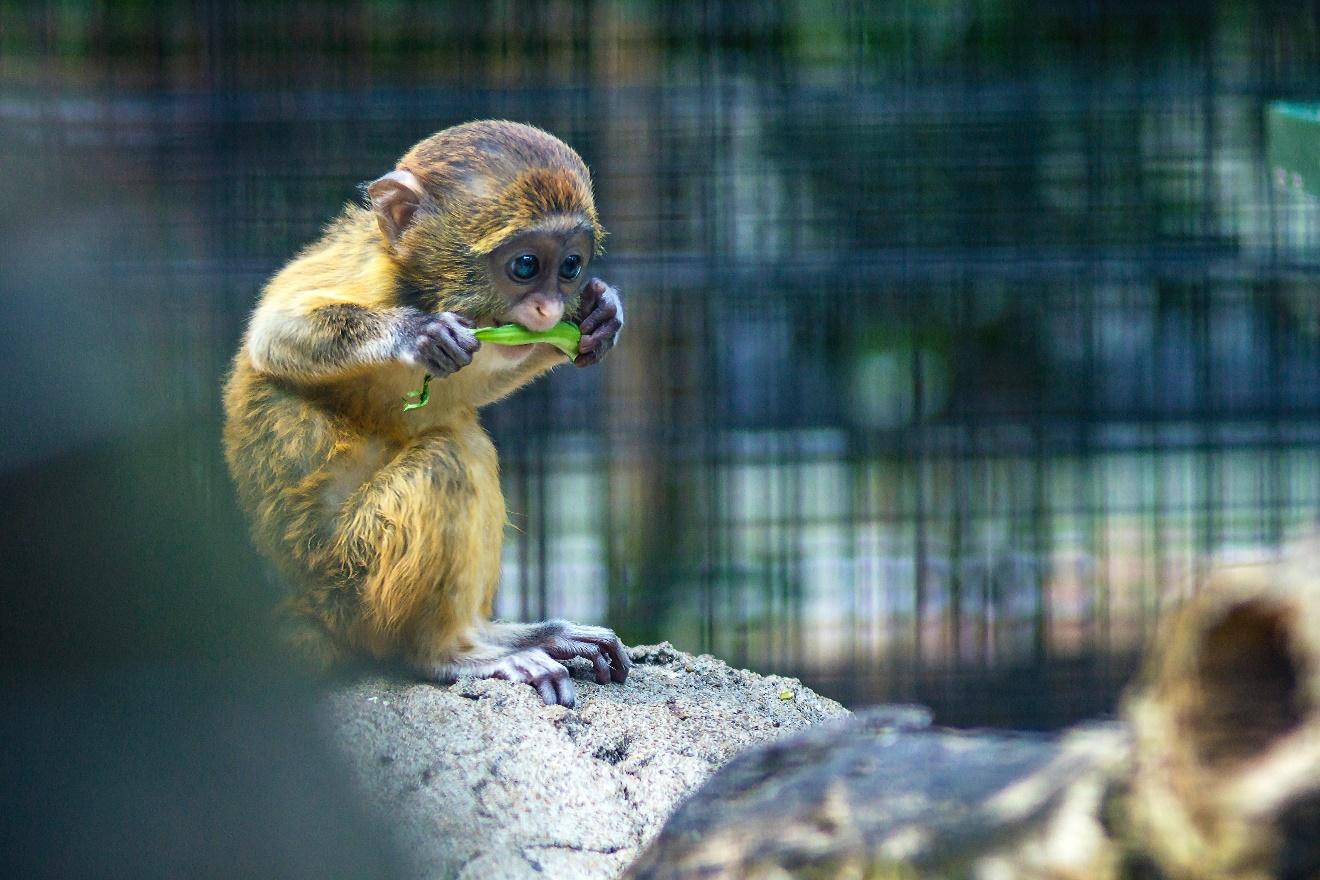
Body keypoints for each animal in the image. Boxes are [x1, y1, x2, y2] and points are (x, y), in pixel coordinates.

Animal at [225, 118, 628, 707]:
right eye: (526, 265)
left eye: (571, 267)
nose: (550, 309)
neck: (425, 289)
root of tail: (312, 606)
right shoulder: (369, 274)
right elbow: (273, 335)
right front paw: (415, 334)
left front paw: (600, 315)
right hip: (353, 580)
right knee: (449, 458)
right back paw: (447, 652)